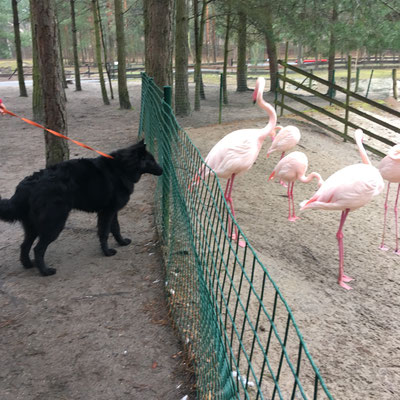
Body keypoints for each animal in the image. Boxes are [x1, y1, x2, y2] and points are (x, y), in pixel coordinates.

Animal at [0, 140, 162, 276]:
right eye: (152, 161)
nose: (162, 170)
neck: (122, 167)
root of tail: (28, 184)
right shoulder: (107, 212)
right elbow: (104, 232)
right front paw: (107, 252)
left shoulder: (112, 211)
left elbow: (116, 228)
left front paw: (122, 242)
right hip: (54, 224)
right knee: (38, 249)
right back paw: (45, 271)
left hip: (33, 227)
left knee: (24, 246)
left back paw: (28, 265)